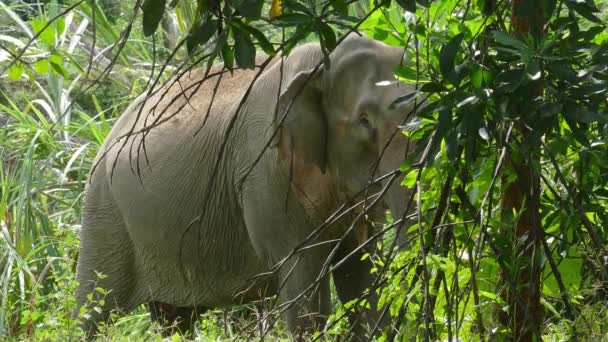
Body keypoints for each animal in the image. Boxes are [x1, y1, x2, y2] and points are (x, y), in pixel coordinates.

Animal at [75, 33, 418, 338]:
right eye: (365, 121)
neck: (321, 63)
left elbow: (361, 278)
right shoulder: (266, 177)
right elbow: (306, 293)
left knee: (175, 319)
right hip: (103, 213)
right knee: (93, 312)